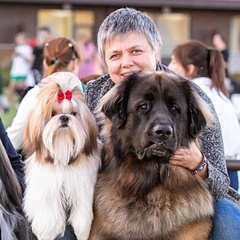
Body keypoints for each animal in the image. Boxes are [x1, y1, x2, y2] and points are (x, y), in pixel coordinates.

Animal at [22, 71, 100, 240]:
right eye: (53, 113)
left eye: (73, 114)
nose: (64, 117)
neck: (62, 152)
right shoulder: (47, 187)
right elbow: (48, 214)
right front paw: (47, 232)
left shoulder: (82, 186)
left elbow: (82, 213)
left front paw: (83, 231)